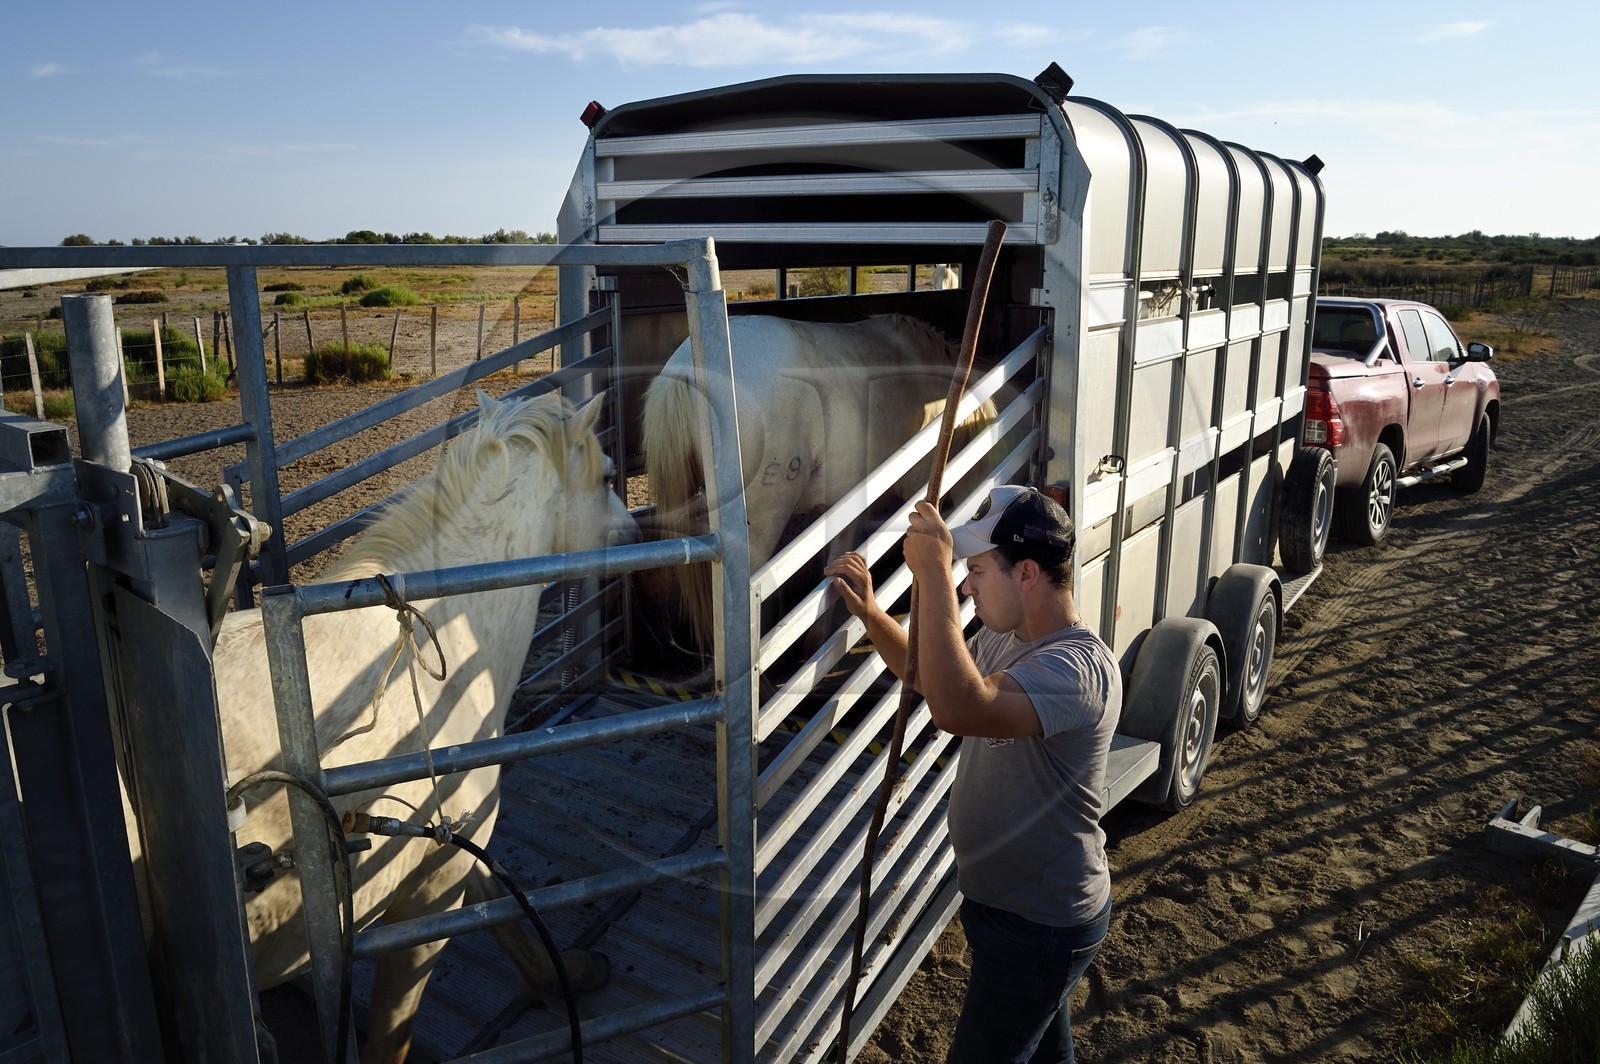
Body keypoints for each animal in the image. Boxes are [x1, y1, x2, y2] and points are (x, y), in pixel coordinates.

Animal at [153, 391, 632, 1063]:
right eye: (609, 474)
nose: (635, 529)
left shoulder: (450, 843)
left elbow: (501, 902)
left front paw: (572, 972)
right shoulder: (428, 902)